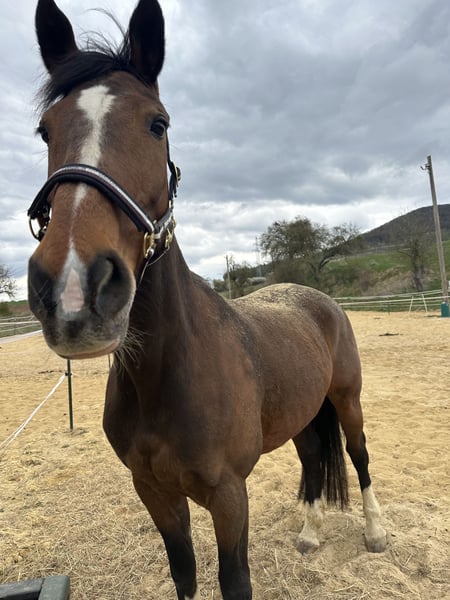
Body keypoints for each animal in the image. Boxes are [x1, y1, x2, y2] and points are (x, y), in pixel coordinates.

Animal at [27, 1, 387, 598]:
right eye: (44, 130)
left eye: (158, 124)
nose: (75, 288)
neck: (169, 371)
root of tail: (320, 301)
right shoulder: (155, 492)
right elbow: (185, 575)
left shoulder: (229, 495)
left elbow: (233, 579)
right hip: (304, 413)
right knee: (314, 459)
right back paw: (310, 534)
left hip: (346, 399)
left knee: (357, 457)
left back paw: (377, 533)